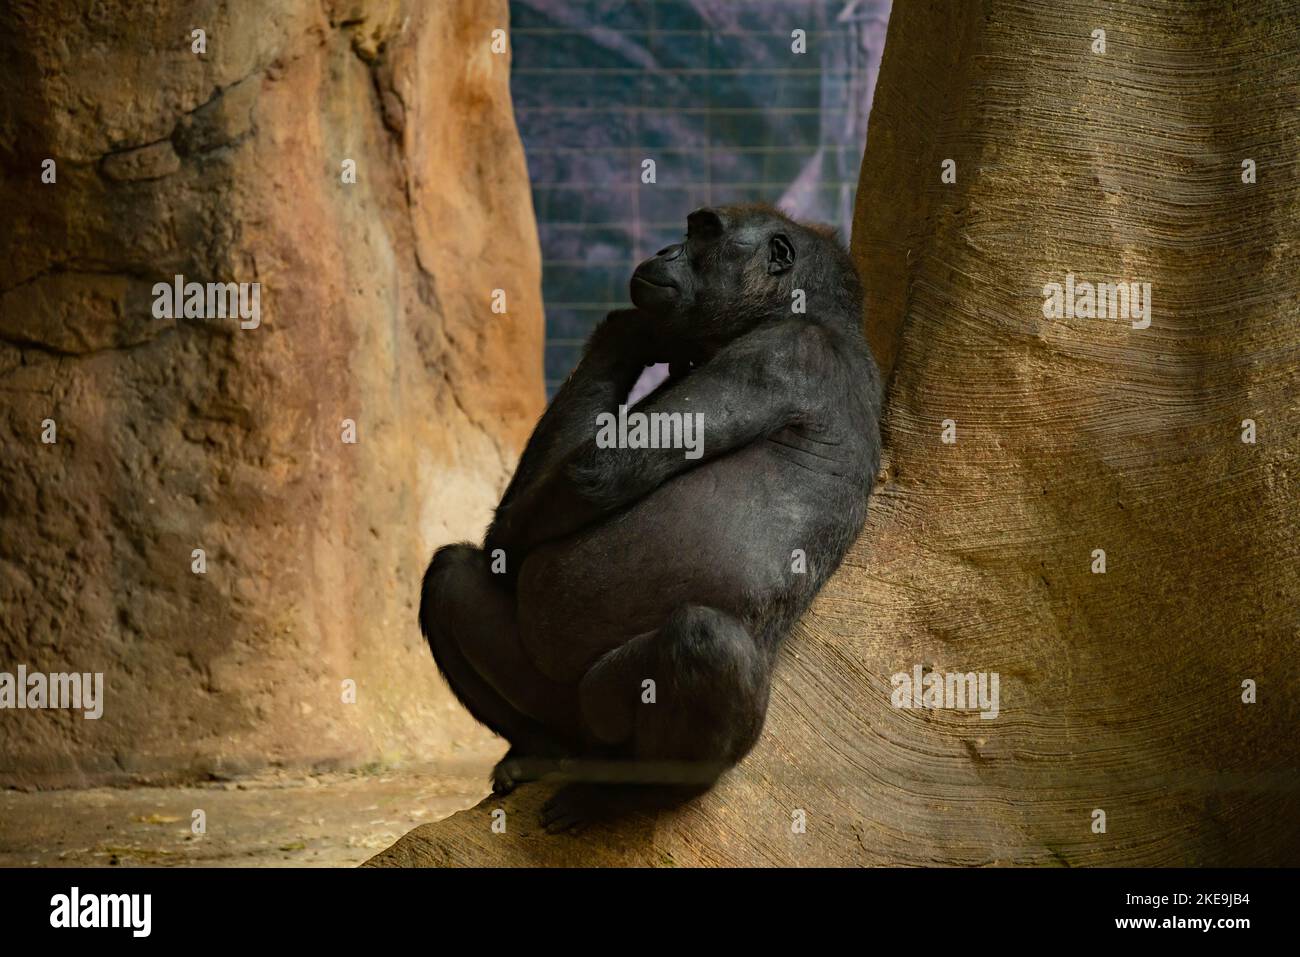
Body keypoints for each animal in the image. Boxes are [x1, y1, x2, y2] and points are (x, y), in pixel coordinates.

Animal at [421, 204, 878, 832]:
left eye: (705, 232)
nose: (665, 249)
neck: (807, 309)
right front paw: (632, 331)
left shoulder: (779, 353)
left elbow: (593, 473)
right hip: (562, 710)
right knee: (449, 576)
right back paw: (538, 750)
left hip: (617, 718)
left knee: (706, 643)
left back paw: (633, 793)